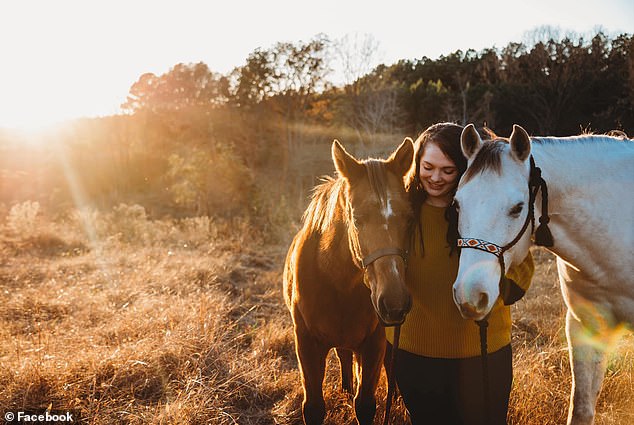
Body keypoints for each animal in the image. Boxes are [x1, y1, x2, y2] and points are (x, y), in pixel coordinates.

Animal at [284, 139, 412, 424]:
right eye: (357, 218)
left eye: (408, 216)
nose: (395, 302)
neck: (337, 283)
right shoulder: (306, 344)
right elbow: (313, 407)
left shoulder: (374, 343)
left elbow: (364, 404)